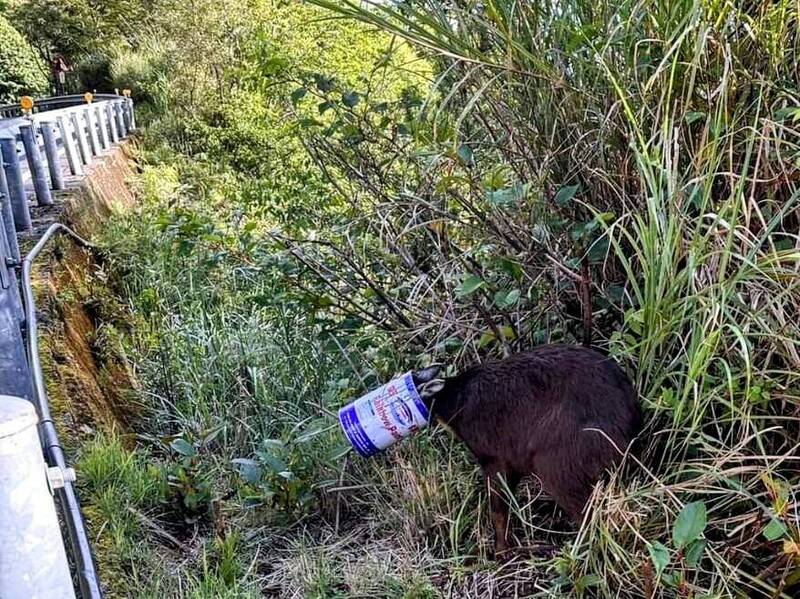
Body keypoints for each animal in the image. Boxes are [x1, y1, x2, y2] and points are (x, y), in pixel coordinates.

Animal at [416, 344, 640, 556]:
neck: (456, 398)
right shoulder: (513, 461)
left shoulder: (494, 458)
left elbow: (498, 508)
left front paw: (501, 552)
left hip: (557, 463)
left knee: (589, 514)